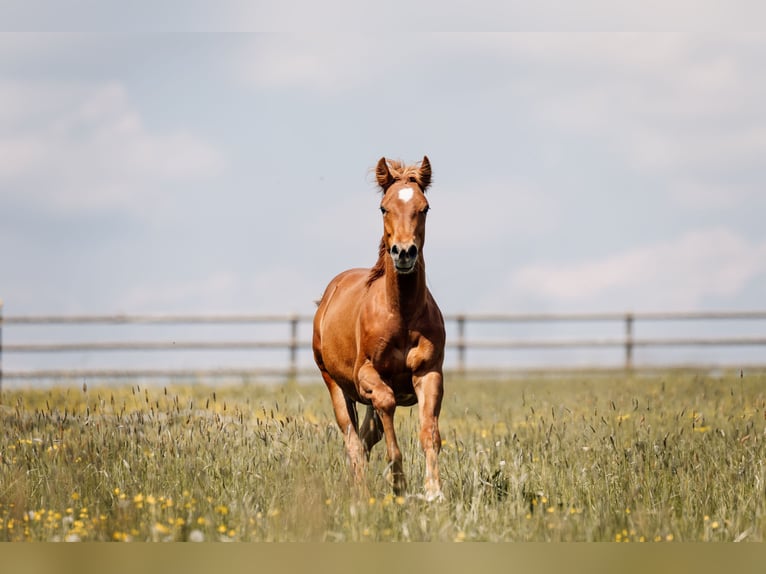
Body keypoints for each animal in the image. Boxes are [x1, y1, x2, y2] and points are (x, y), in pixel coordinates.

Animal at [312, 156, 446, 501]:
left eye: (424, 207)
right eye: (383, 208)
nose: (404, 252)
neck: (401, 315)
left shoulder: (429, 373)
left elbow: (429, 432)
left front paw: (434, 491)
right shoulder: (366, 375)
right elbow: (385, 404)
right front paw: (398, 481)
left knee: (364, 437)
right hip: (334, 384)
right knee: (352, 440)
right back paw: (360, 492)